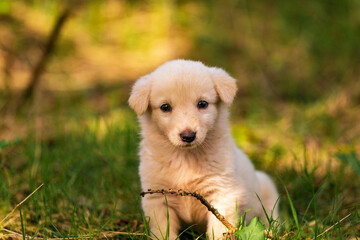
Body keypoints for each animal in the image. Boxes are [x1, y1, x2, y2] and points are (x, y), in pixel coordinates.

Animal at [129, 60, 278, 240]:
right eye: (165, 107)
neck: (185, 159)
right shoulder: (157, 198)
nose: (188, 136)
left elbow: (219, 229)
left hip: (266, 187)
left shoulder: (223, 193)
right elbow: (163, 231)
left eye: (202, 104)